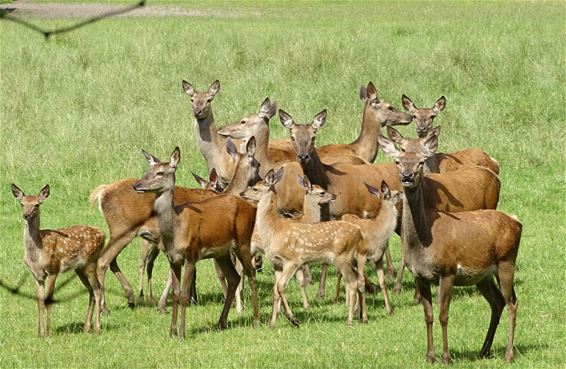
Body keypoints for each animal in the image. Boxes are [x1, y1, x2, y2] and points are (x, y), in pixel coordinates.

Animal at [10, 184, 106, 336]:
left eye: (37, 204)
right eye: (22, 204)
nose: (26, 215)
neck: (37, 253)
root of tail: (103, 234)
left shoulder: (53, 269)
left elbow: (48, 300)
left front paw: (48, 333)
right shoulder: (37, 275)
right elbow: (39, 302)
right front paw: (40, 333)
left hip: (91, 261)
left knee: (97, 289)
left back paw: (97, 328)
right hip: (80, 268)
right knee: (91, 290)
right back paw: (86, 327)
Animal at [133, 145, 260, 338]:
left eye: (160, 173)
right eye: (148, 171)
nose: (137, 185)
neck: (175, 231)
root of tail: (251, 207)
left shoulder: (191, 255)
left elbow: (184, 295)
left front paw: (182, 333)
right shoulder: (173, 259)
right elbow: (176, 294)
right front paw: (171, 331)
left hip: (243, 241)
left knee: (251, 275)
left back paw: (256, 320)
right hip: (222, 252)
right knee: (234, 277)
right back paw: (221, 322)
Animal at [241, 168, 368, 326]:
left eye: (255, 188)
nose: (242, 193)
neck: (274, 230)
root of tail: (358, 232)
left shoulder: (293, 260)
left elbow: (281, 286)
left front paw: (292, 318)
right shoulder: (278, 262)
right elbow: (276, 289)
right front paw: (273, 323)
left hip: (342, 257)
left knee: (352, 283)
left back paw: (350, 320)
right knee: (358, 279)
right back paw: (361, 317)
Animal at [340, 180, 402, 314]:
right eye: (396, 193)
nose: (403, 193)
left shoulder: (378, 258)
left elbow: (382, 282)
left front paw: (390, 310)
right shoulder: (361, 255)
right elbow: (361, 282)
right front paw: (360, 311)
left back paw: (349, 304)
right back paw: (349, 305)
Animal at [380, 131, 520, 364]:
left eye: (420, 161)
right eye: (398, 161)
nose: (408, 176)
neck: (423, 244)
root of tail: (517, 223)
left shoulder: (447, 271)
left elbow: (443, 315)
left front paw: (446, 357)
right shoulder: (419, 276)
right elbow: (428, 316)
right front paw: (430, 356)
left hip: (506, 261)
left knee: (512, 302)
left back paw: (508, 355)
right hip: (483, 275)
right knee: (497, 302)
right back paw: (483, 350)